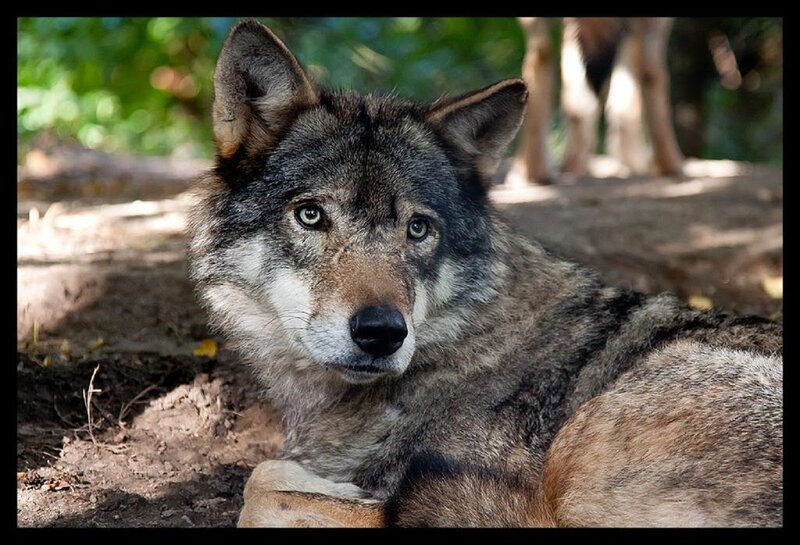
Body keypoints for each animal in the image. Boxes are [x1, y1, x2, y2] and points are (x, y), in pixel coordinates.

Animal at [187, 20, 782, 527]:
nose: (382, 333)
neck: (460, 340)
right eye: (311, 215)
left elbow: (264, 484)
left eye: (418, 229)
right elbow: (276, 471)